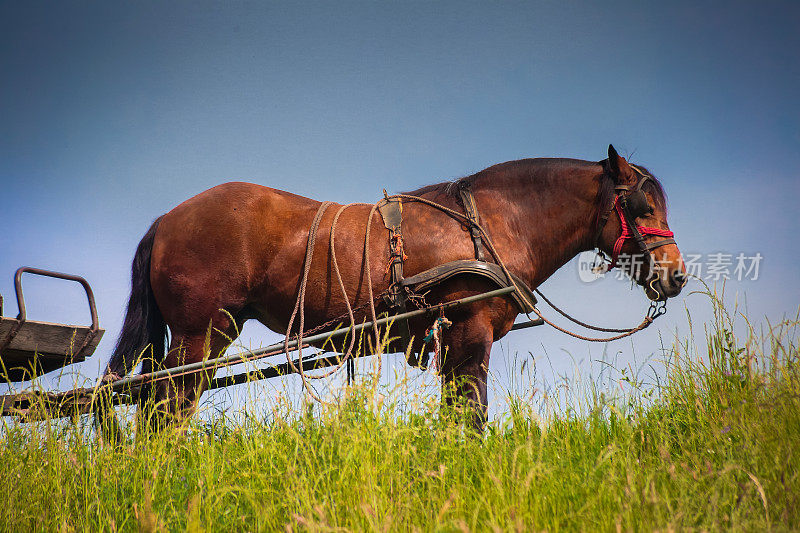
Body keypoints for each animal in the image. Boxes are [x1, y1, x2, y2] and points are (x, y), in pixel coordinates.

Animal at [104, 145, 688, 428]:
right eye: (642, 206)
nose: (677, 274)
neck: (489, 224)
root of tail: (167, 220)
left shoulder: (450, 341)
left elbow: (458, 414)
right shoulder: (468, 330)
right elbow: (470, 415)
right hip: (201, 334)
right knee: (167, 408)